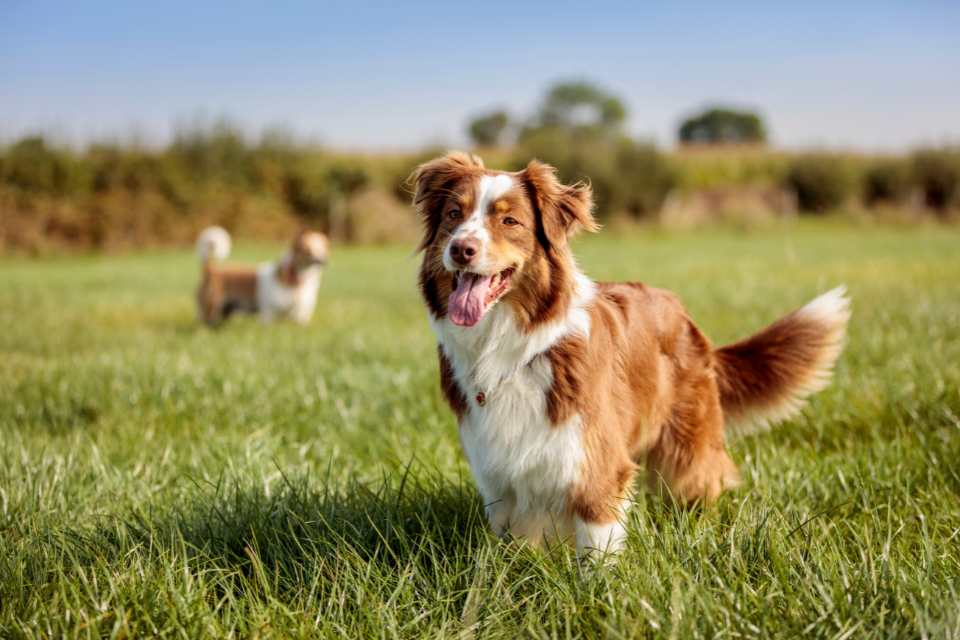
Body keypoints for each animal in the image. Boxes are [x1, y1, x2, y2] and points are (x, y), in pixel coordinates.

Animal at [195, 226, 330, 328]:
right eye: (307, 251)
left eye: (323, 249)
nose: (322, 261)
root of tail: (212, 270)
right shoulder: (268, 314)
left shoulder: (301, 315)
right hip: (211, 309)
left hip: (225, 311)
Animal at [408, 152, 852, 556]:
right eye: (454, 214)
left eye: (509, 221)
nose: (461, 249)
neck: (510, 347)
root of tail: (683, 313)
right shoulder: (499, 475)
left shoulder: (596, 464)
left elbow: (597, 553)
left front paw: (595, 590)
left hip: (687, 446)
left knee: (705, 481)